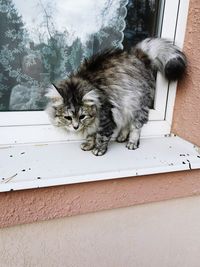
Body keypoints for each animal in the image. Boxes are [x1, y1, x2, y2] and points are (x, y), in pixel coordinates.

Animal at [45, 38, 186, 158]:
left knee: (136, 126)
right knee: (126, 122)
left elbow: (101, 136)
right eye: (68, 117)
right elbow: (91, 135)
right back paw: (122, 137)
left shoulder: (106, 118)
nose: (75, 127)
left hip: (138, 103)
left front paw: (98, 149)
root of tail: (137, 56)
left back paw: (132, 142)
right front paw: (89, 145)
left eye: (82, 116)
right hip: (127, 103)